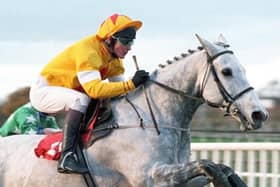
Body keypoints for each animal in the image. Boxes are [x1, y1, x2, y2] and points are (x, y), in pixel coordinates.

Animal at [0, 34, 268, 186]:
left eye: (243, 68)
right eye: (226, 71)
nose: (259, 114)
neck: (153, 120)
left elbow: (219, 167)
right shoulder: (151, 176)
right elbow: (208, 165)